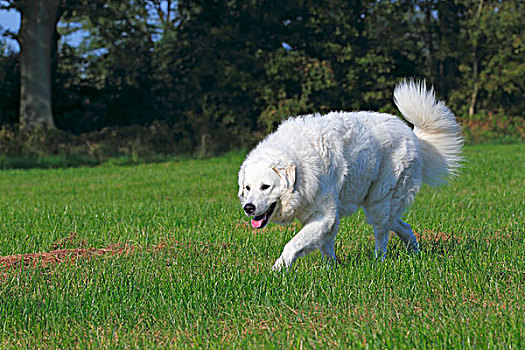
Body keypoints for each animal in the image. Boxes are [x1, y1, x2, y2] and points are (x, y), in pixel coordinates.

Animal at [237, 80, 462, 270]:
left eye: (266, 186)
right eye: (247, 188)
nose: (249, 208)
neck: (301, 172)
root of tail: (412, 135)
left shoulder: (325, 215)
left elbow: (292, 245)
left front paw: (276, 271)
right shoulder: (322, 217)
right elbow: (324, 245)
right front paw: (330, 270)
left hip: (380, 201)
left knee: (382, 234)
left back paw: (379, 261)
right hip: (379, 204)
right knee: (401, 225)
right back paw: (414, 252)